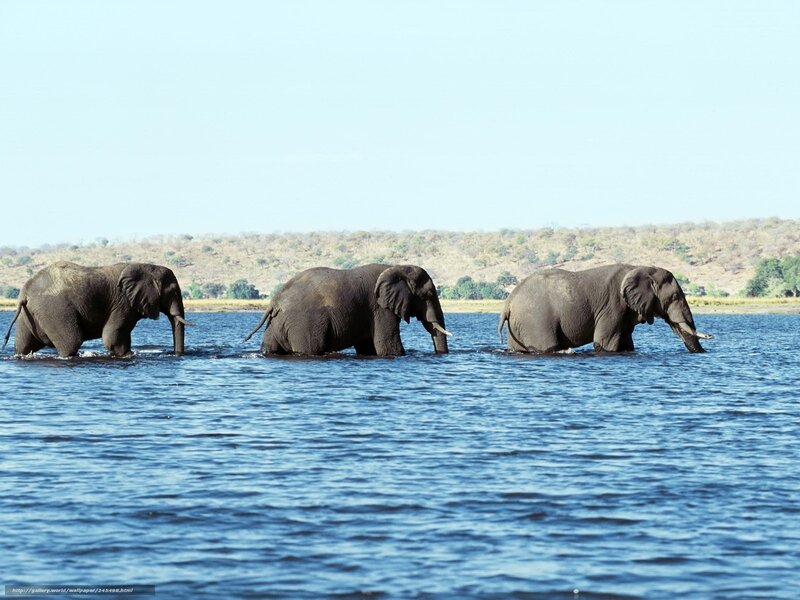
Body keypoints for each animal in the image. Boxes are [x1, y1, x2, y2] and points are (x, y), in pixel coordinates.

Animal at [2, 261, 187, 357]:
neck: (146, 267)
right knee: (72, 342)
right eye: (172, 291)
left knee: (23, 345)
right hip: (53, 310)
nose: (177, 355)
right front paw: (129, 355)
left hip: (29, 314)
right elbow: (112, 337)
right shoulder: (123, 303)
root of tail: (25, 290)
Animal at [244, 264, 450, 356]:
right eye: (429, 293)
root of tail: (275, 301)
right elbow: (388, 345)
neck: (398, 267)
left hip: (277, 324)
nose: (439, 355)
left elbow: (368, 347)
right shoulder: (380, 308)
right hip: (303, 325)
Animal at [498, 264, 712, 354]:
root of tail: (508, 304)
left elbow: (626, 343)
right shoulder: (613, 306)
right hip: (535, 320)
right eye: (674, 297)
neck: (642, 268)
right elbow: (605, 343)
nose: (703, 353)